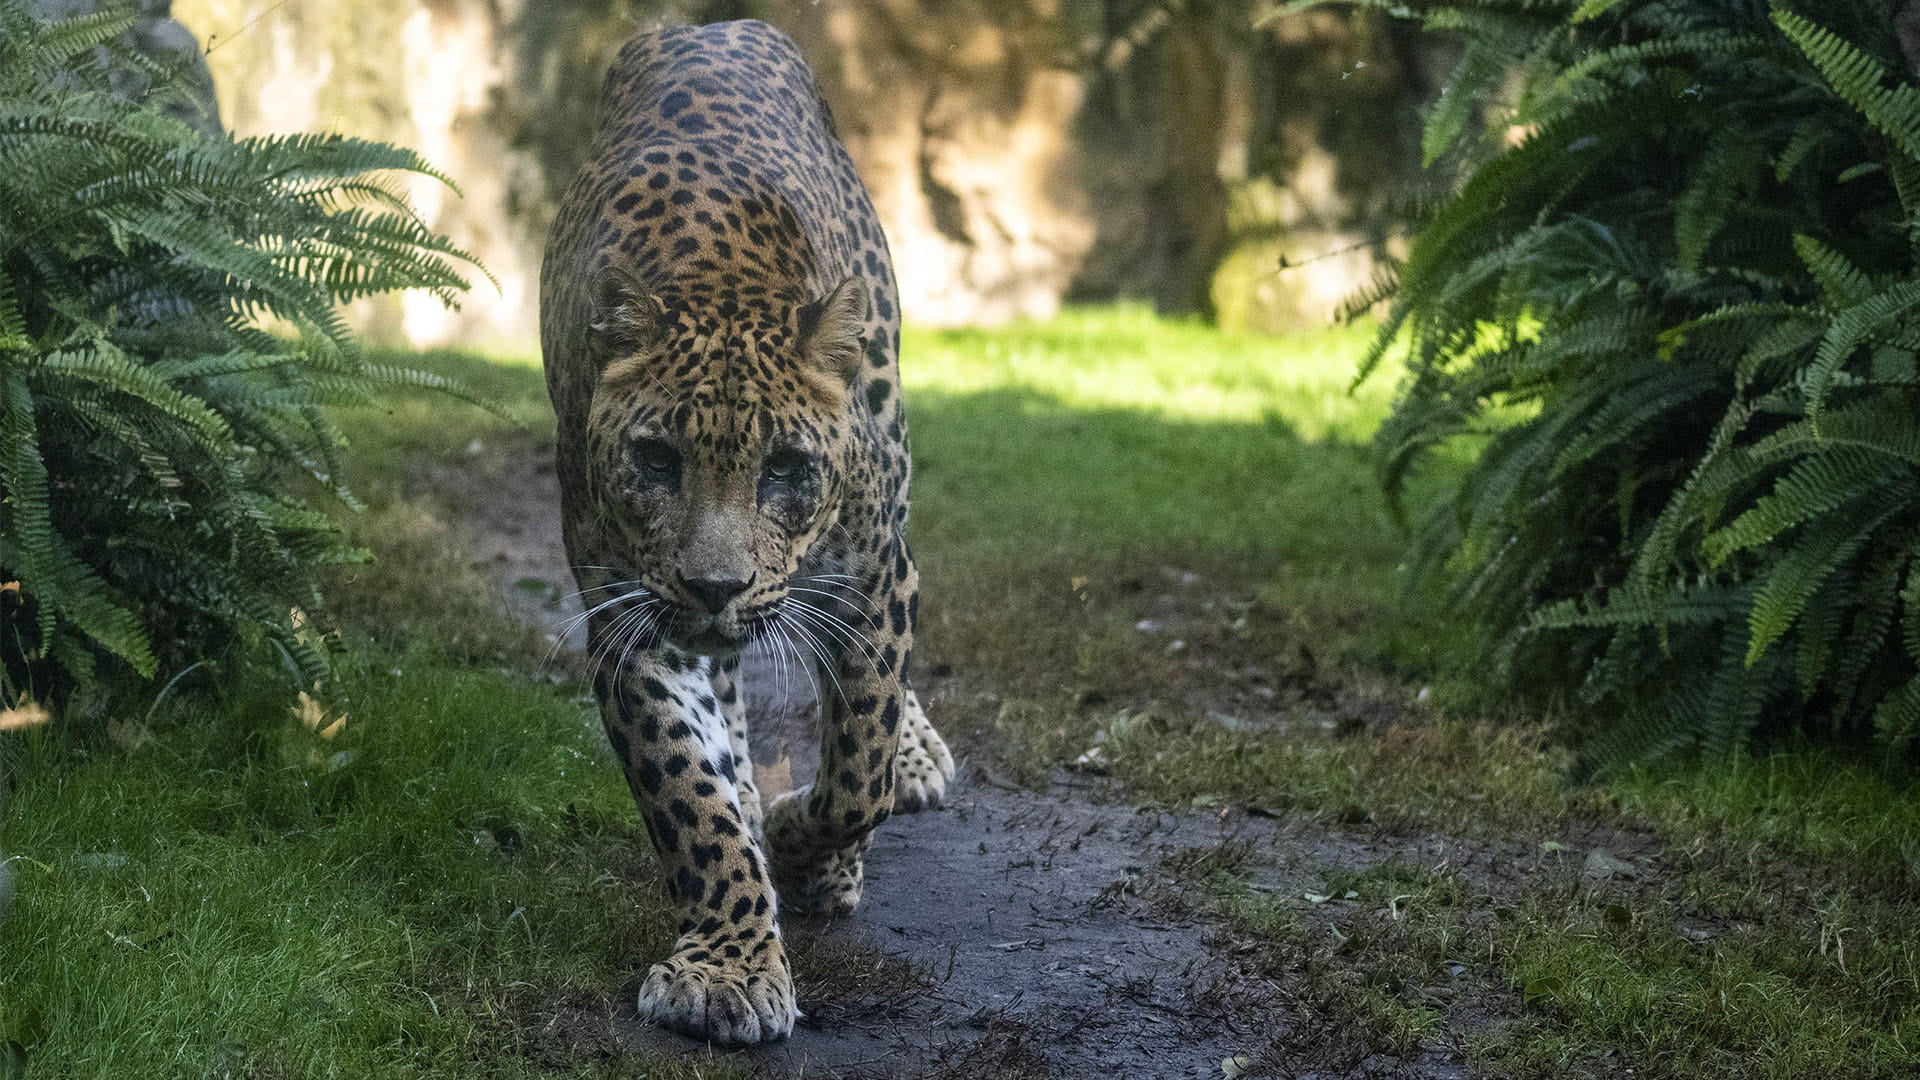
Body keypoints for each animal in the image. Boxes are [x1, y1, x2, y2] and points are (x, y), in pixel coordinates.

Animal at [538, 19, 955, 1046]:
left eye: (785, 470)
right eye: (655, 461)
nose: (716, 588)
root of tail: (707, 26)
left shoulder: (875, 577)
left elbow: (857, 774)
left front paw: (812, 847)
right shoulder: (633, 614)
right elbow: (691, 794)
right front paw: (730, 963)